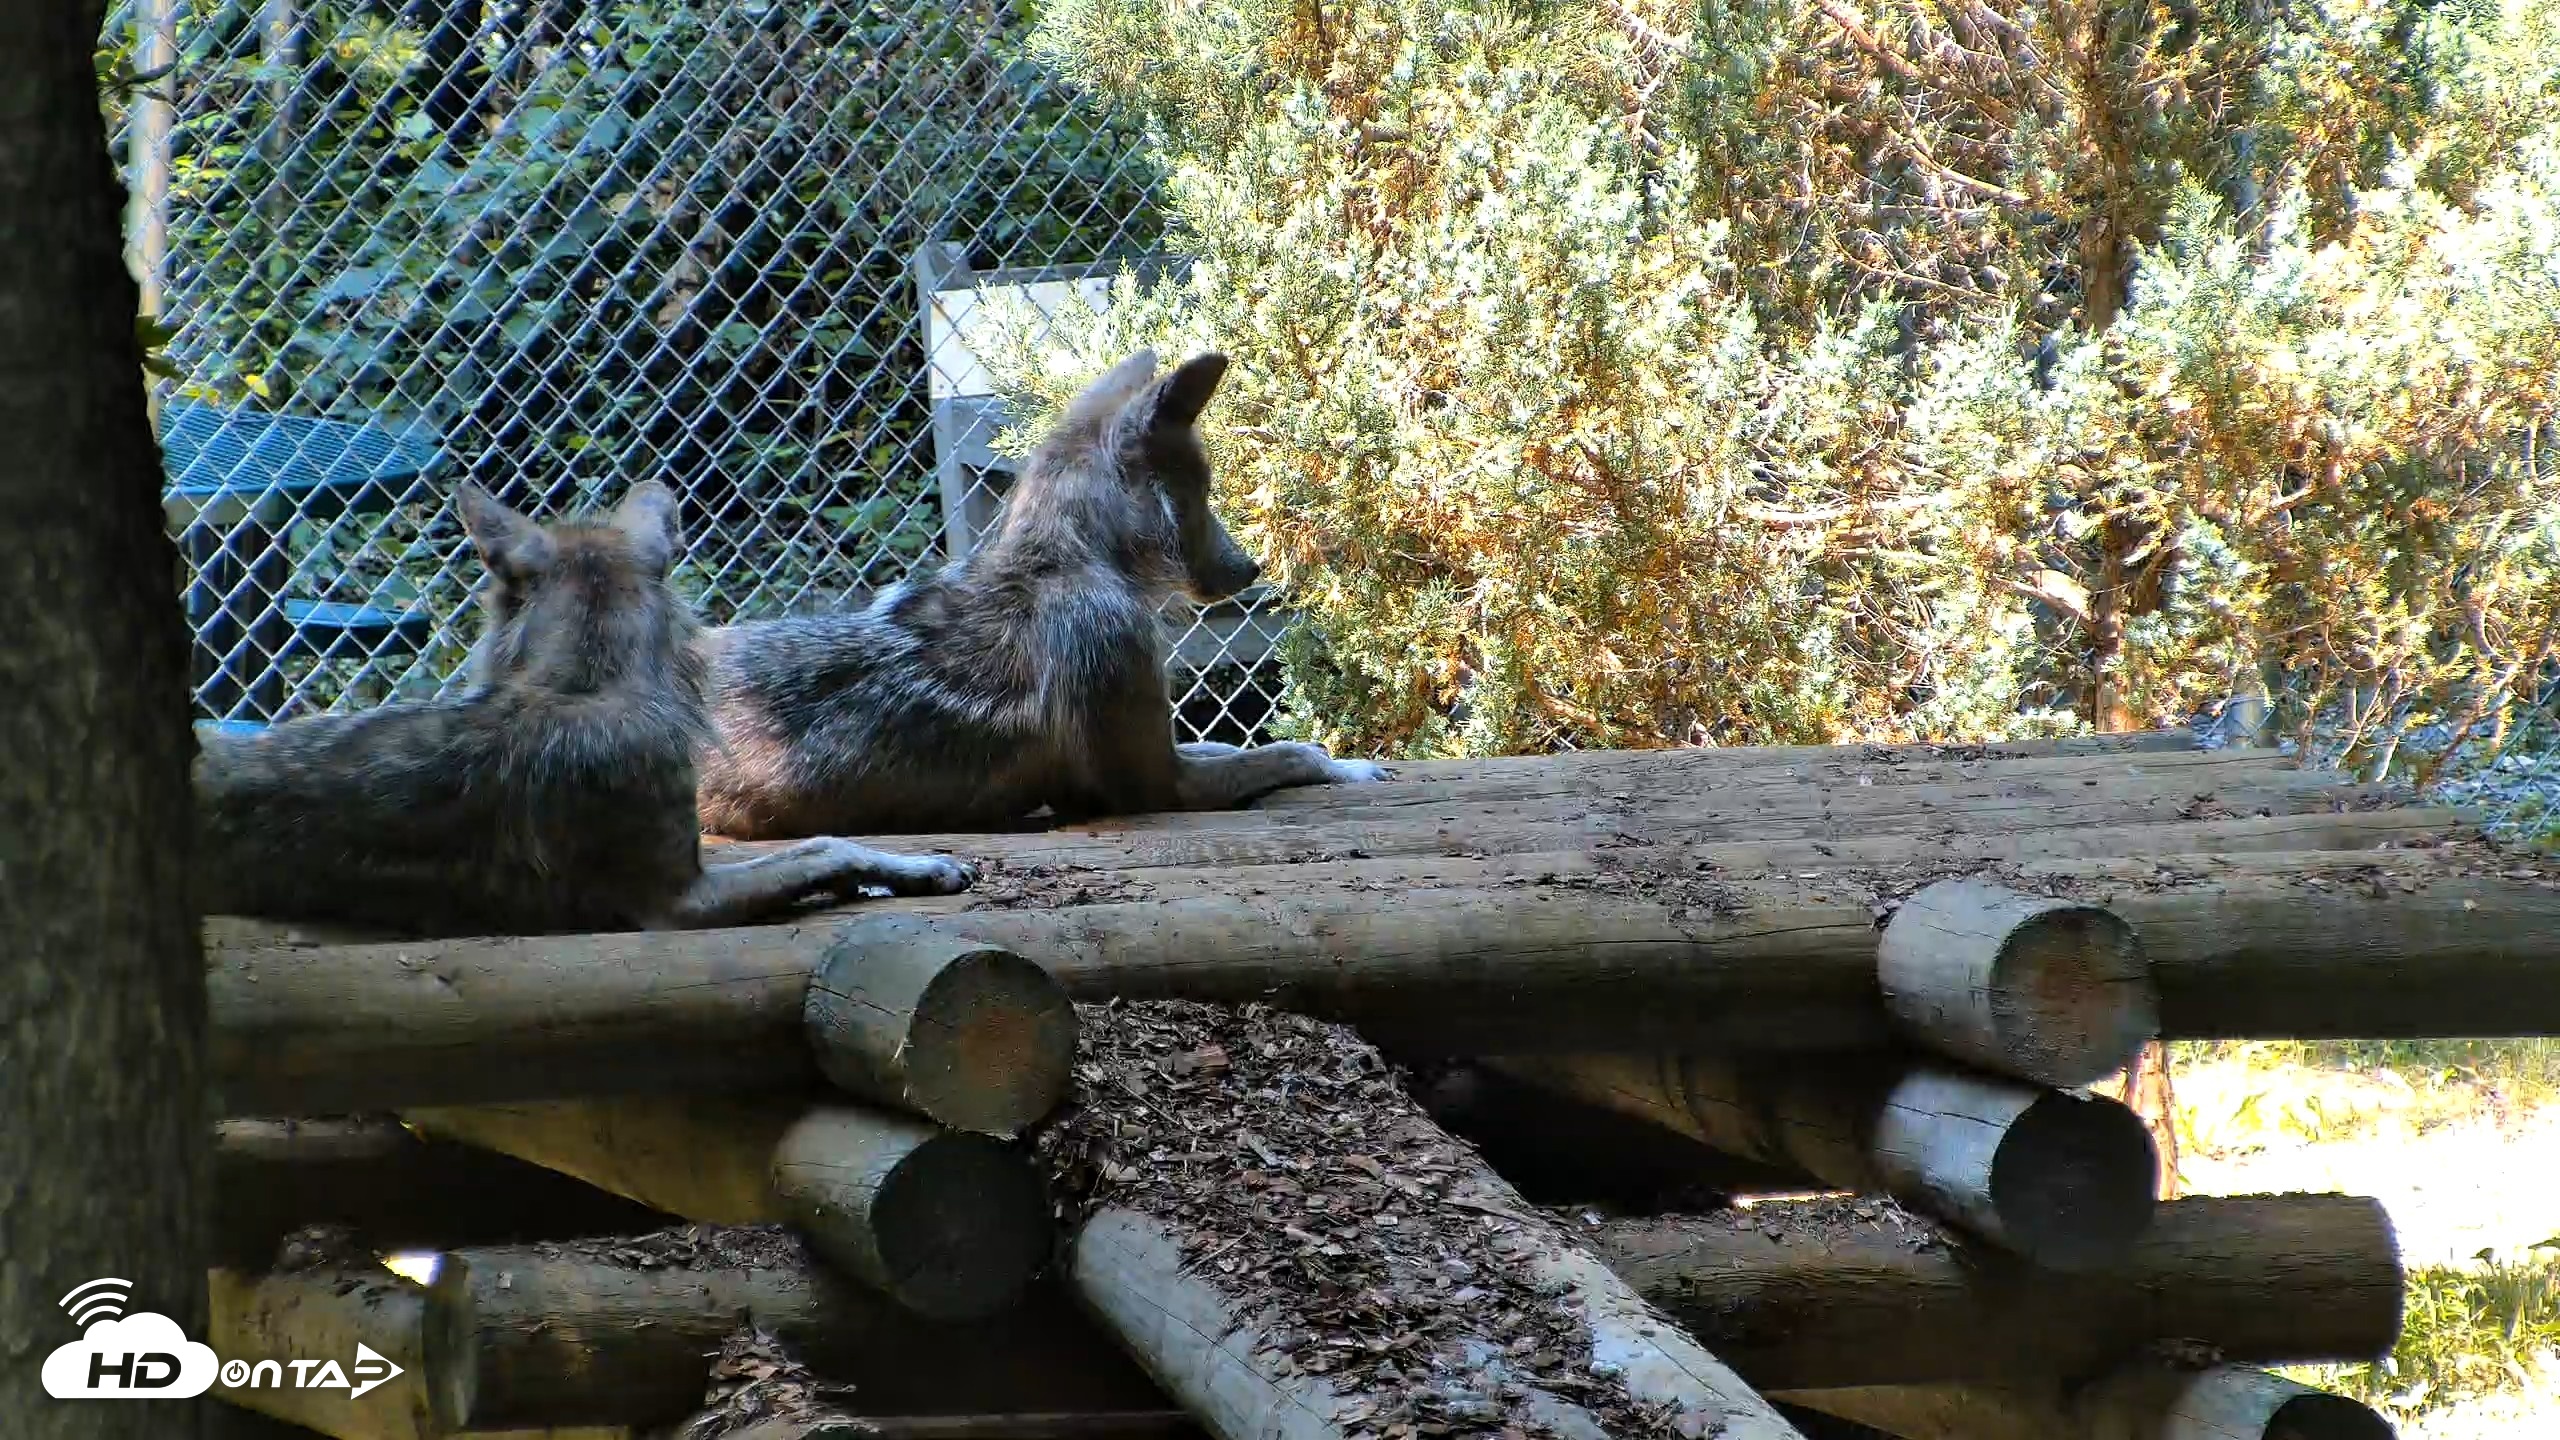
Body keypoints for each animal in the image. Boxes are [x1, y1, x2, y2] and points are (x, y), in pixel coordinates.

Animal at [693, 348, 1389, 839]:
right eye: (1202, 490)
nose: (1251, 568)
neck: (1069, 561)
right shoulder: (1158, 785)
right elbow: (1287, 752)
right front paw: (1347, 766)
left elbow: (1237, 742)